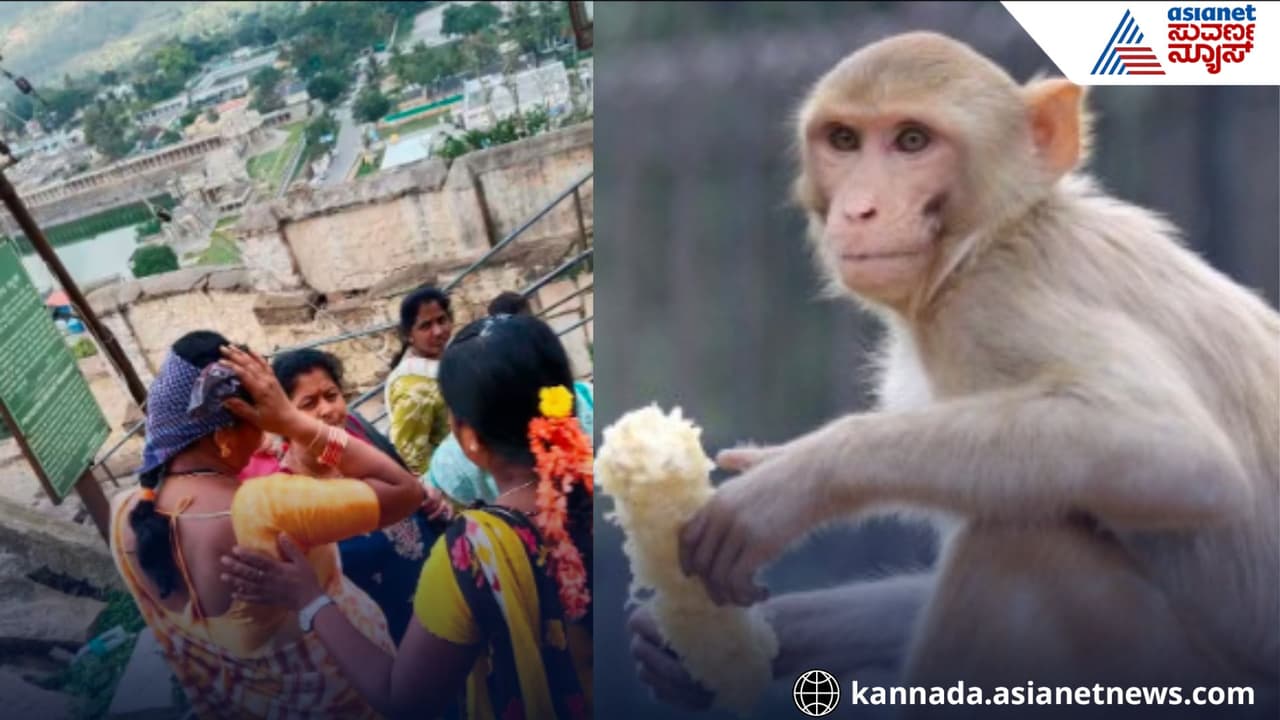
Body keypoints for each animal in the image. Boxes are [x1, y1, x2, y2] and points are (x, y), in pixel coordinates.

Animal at [628, 31, 1279, 719]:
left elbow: (1181, 454)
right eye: (845, 140)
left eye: (912, 141)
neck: (984, 243)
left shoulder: (996, 306)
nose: (860, 210)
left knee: (1019, 543)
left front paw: (795, 478)